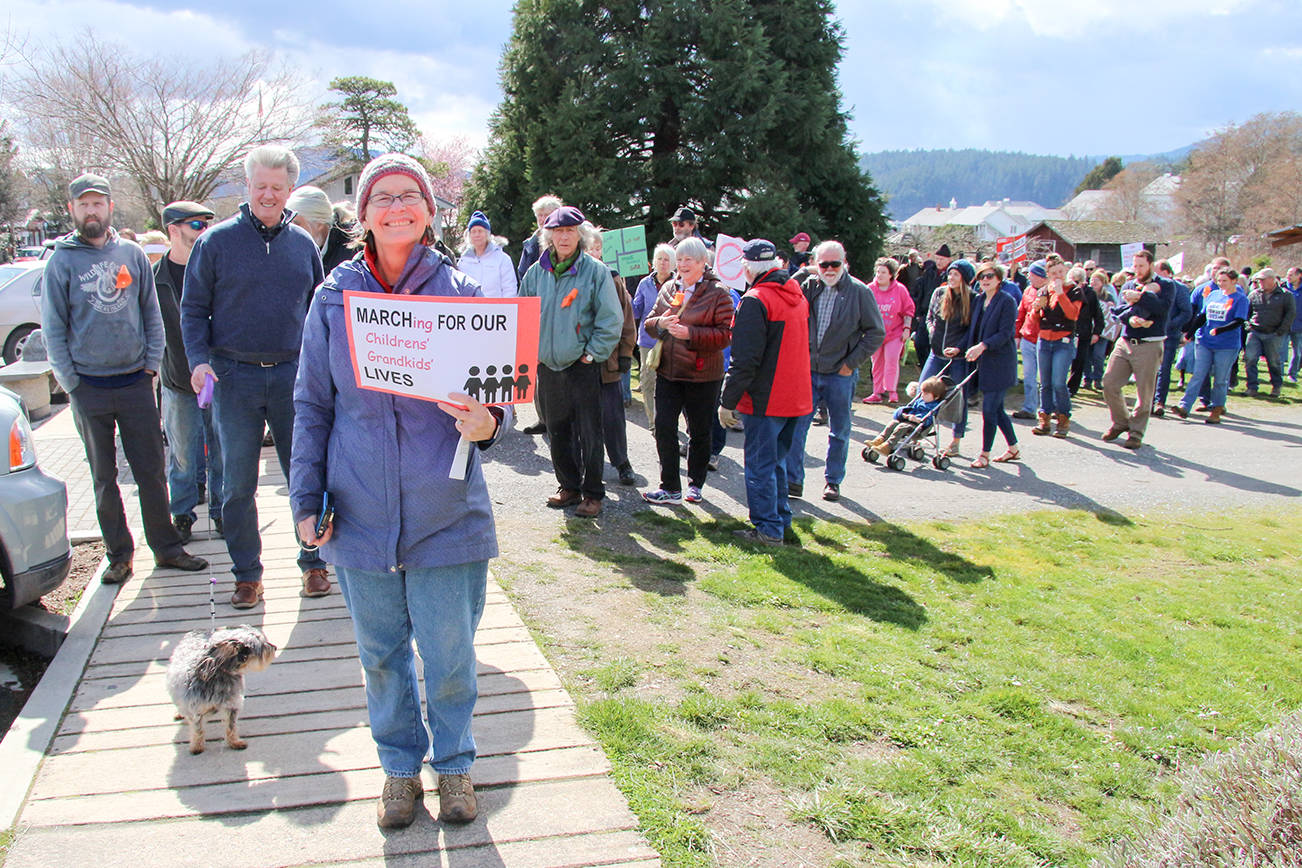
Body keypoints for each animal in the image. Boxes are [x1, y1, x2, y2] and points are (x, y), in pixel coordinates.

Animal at [165, 624, 277, 754]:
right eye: (262, 645)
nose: (275, 647)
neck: (219, 674)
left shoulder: (232, 706)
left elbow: (231, 727)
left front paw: (234, 742)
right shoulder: (196, 710)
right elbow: (198, 730)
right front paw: (197, 746)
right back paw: (180, 713)